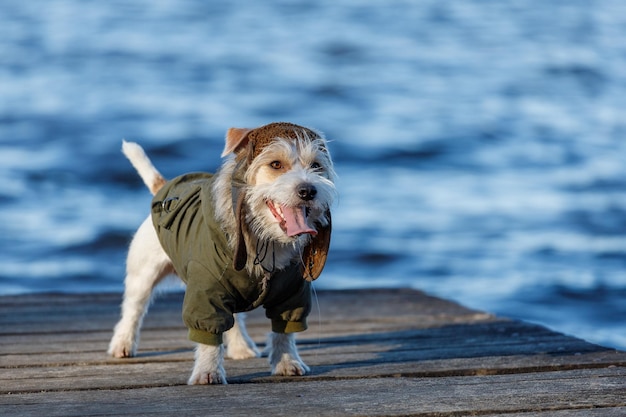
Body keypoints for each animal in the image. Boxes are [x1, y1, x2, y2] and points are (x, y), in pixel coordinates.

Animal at [106, 122, 336, 384]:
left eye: (316, 166)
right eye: (276, 164)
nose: (308, 190)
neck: (265, 240)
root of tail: (163, 187)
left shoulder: (292, 295)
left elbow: (283, 333)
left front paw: (287, 362)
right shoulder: (205, 294)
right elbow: (208, 335)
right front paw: (208, 372)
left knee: (234, 320)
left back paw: (241, 347)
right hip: (143, 275)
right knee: (133, 309)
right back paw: (122, 344)